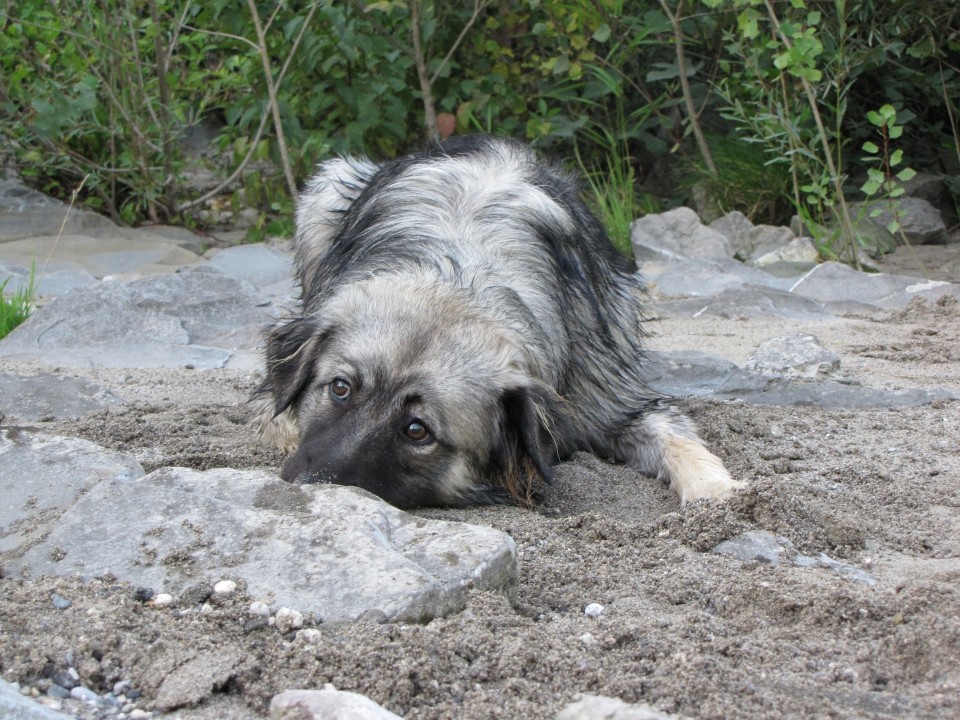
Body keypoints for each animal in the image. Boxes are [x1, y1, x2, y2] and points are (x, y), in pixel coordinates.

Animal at [253, 134, 744, 506]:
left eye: (417, 430)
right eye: (340, 388)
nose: (307, 489)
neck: (460, 278)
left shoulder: (612, 402)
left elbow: (674, 436)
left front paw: (714, 488)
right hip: (325, 191)